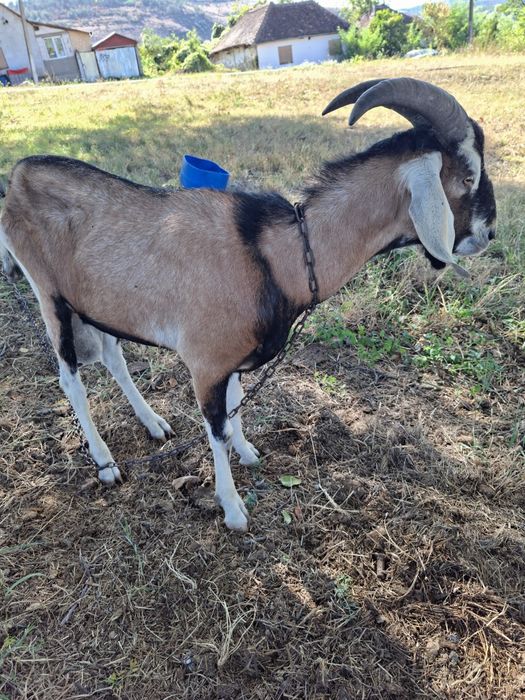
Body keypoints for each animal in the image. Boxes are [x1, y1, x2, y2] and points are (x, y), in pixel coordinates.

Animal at [0, 78, 496, 531]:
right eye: (467, 176)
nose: (490, 233)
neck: (276, 255)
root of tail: (19, 174)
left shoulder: (232, 359)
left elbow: (237, 404)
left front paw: (248, 452)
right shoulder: (206, 363)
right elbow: (216, 428)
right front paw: (233, 509)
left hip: (96, 303)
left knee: (113, 358)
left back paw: (155, 424)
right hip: (50, 297)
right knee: (71, 381)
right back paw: (106, 465)